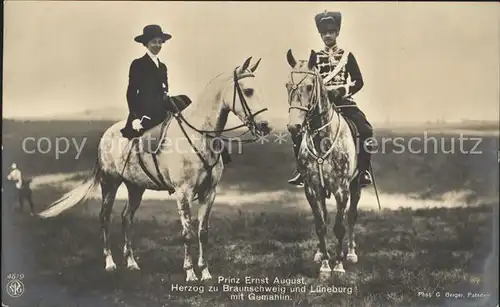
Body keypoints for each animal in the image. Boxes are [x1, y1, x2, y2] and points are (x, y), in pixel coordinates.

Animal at [286, 49, 364, 276]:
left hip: (356, 185)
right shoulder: (312, 189)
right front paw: (324, 265)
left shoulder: (341, 189)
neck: (322, 139)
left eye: (309, 86)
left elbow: (339, 226)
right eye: (287, 85)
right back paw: (320, 253)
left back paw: (351, 253)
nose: (294, 127)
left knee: (352, 216)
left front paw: (338, 265)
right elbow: (320, 224)